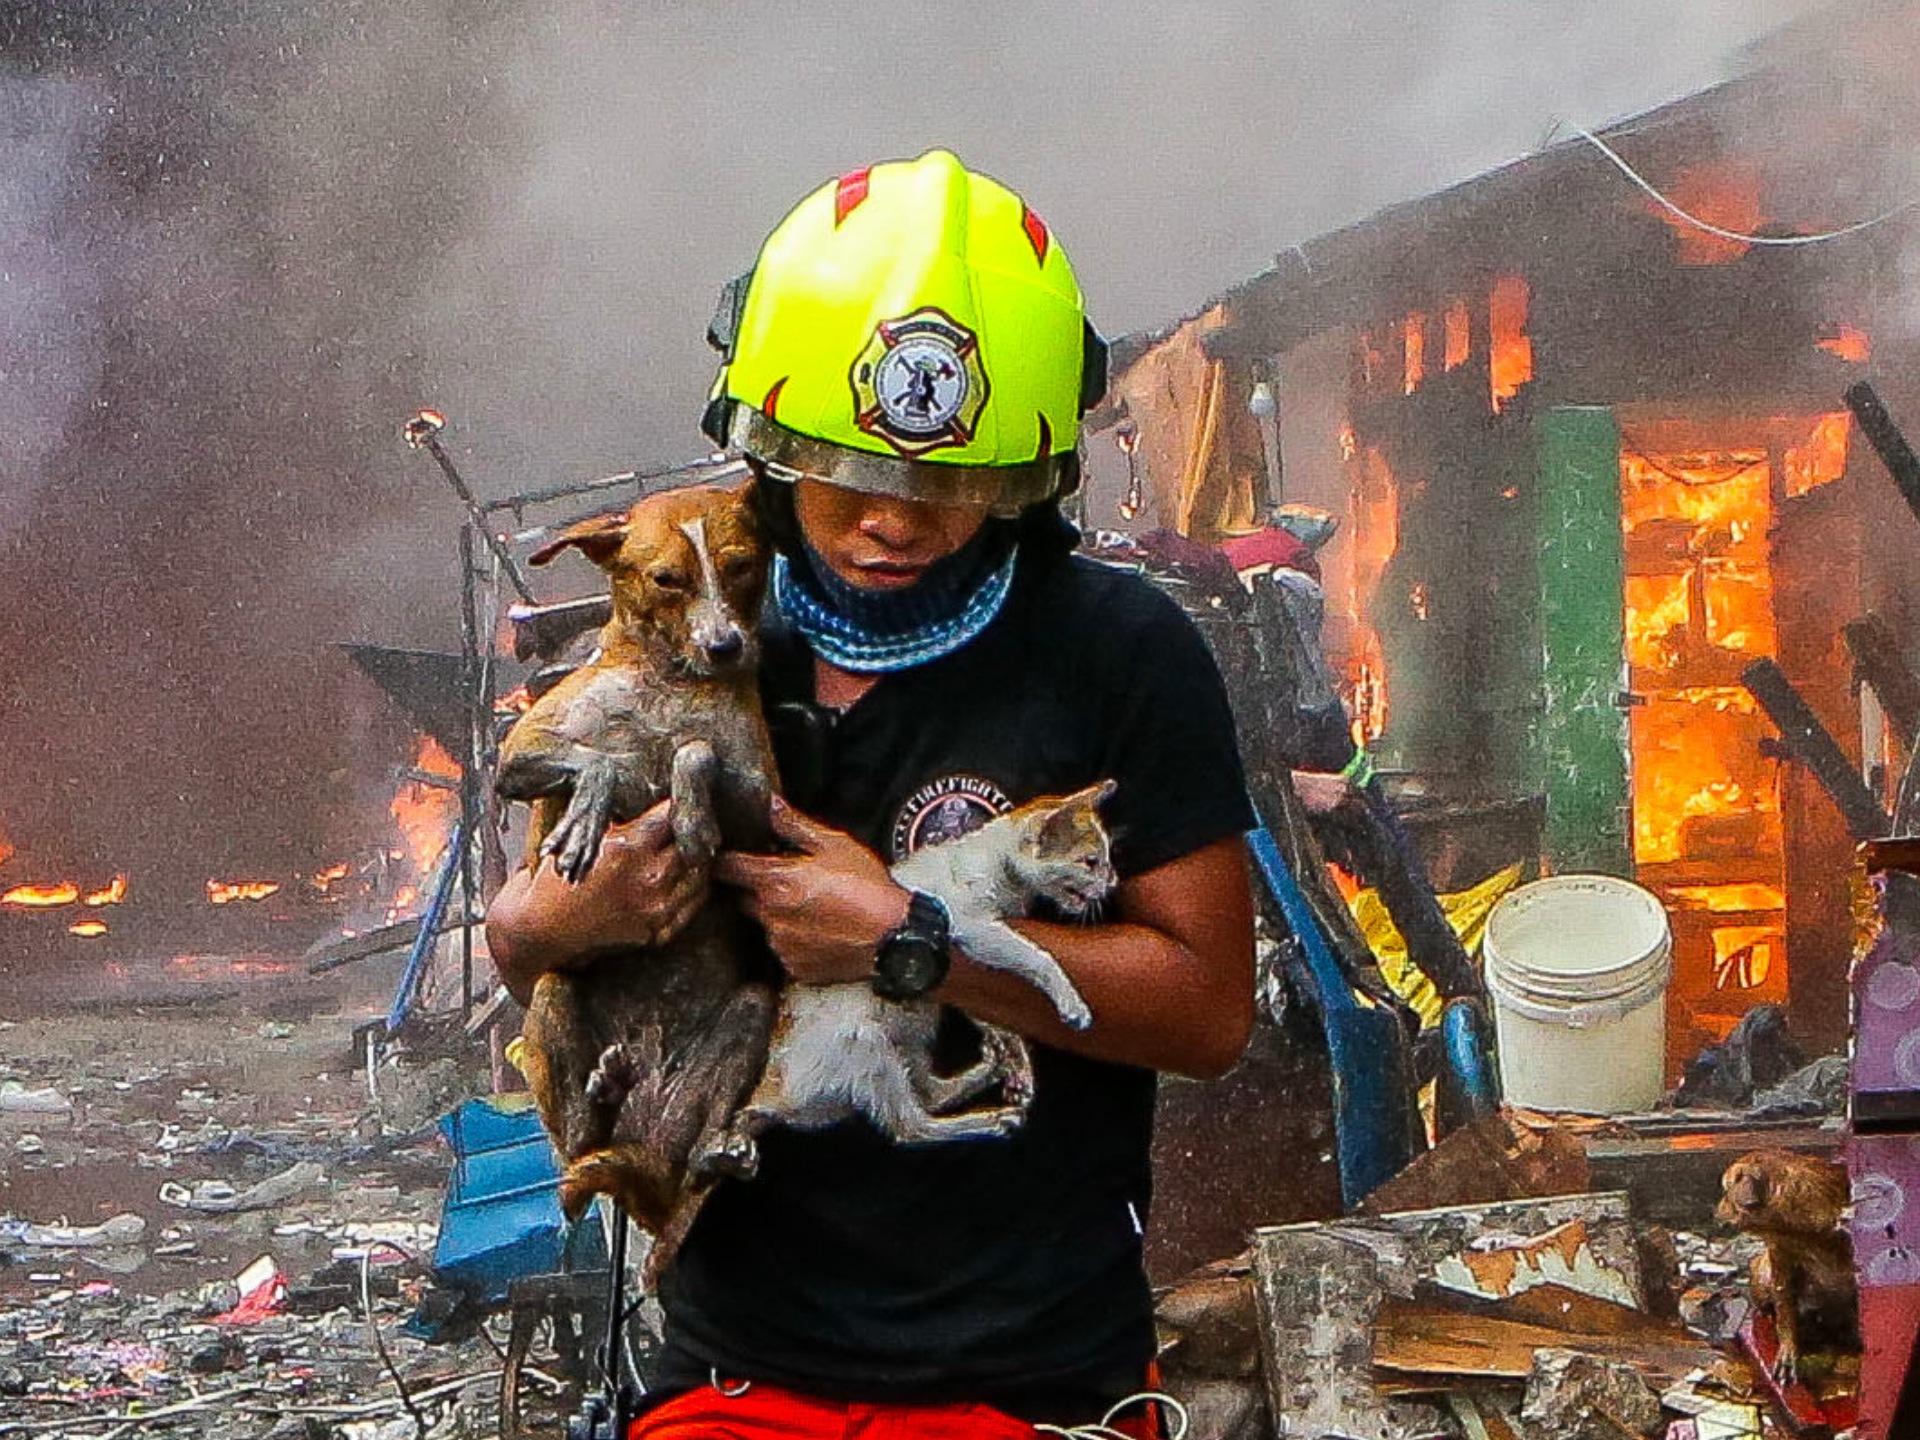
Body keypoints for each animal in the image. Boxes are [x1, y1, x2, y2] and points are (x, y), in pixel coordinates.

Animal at [503, 485, 787, 1282]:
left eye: (741, 565)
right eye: (667, 580)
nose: (727, 647)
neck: (671, 683)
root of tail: (645, 1144)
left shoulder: (759, 803)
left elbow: (698, 755)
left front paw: (688, 813)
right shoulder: (520, 750)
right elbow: (601, 758)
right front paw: (592, 808)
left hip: (751, 1013)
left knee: (701, 1147)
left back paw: (718, 1144)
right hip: (552, 995)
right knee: (573, 1144)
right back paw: (598, 1095)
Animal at [741, 783, 1121, 1144]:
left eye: (1106, 860)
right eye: (1091, 862)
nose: (1113, 880)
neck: (995, 863)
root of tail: (770, 1092)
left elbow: (992, 1012)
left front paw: (1015, 1056)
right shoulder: (974, 927)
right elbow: (1037, 956)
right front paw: (1071, 1003)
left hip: (912, 1036)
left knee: (930, 1094)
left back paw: (988, 1070)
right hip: (869, 1046)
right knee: (912, 1127)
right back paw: (989, 1119)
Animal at [1720, 1152, 1850, 1390]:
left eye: (1726, 1191)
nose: (1715, 1215)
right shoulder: (1779, 1257)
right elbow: (1785, 1309)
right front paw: (1786, 1364)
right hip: (1761, 1273)